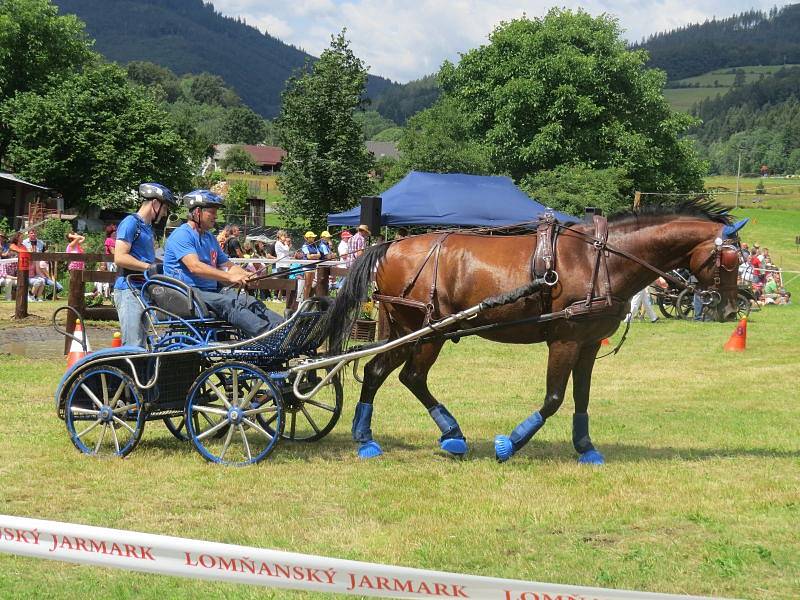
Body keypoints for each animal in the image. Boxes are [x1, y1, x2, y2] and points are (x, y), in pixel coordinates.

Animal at [322, 200, 740, 460]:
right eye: (731, 259)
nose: (729, 309)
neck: (601, 259)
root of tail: (389, 247)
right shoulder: (565, 339)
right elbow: (554, 398)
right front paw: (510, 443)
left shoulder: (589, 343)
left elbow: (582, 397)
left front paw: (586, 447)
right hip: (427, 333)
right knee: (411, 377)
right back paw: (451, 434)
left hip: (406, 330)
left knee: (376, 371)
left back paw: (367, 438)